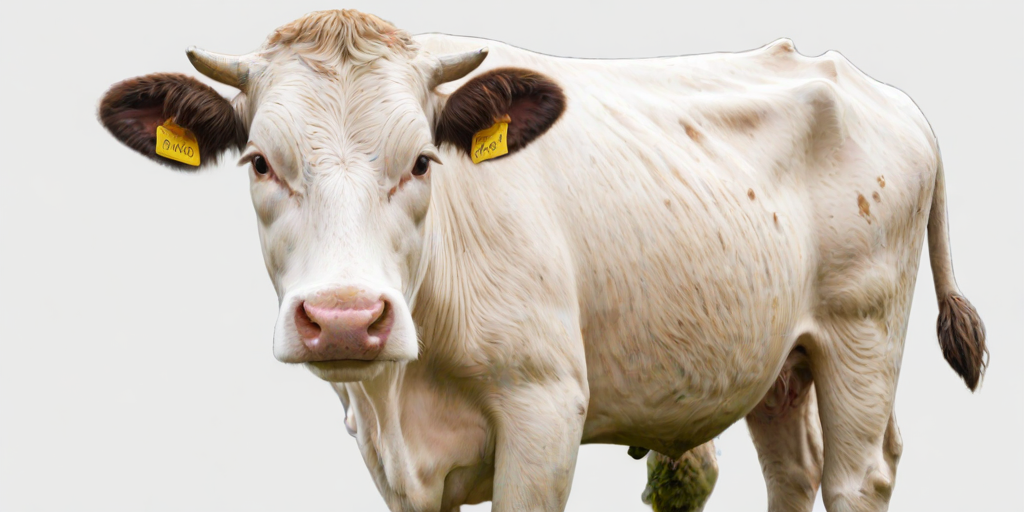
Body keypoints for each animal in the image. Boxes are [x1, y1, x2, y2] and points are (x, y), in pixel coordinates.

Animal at [98, 9, 987, 512]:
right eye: (258, 162)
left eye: (423, 161)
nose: (346, 319)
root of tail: (878, 90)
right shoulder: (393, 460)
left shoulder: (544, 411)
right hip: (777, 358)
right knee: (793, 476)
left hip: (862, 336)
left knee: (856, 478)